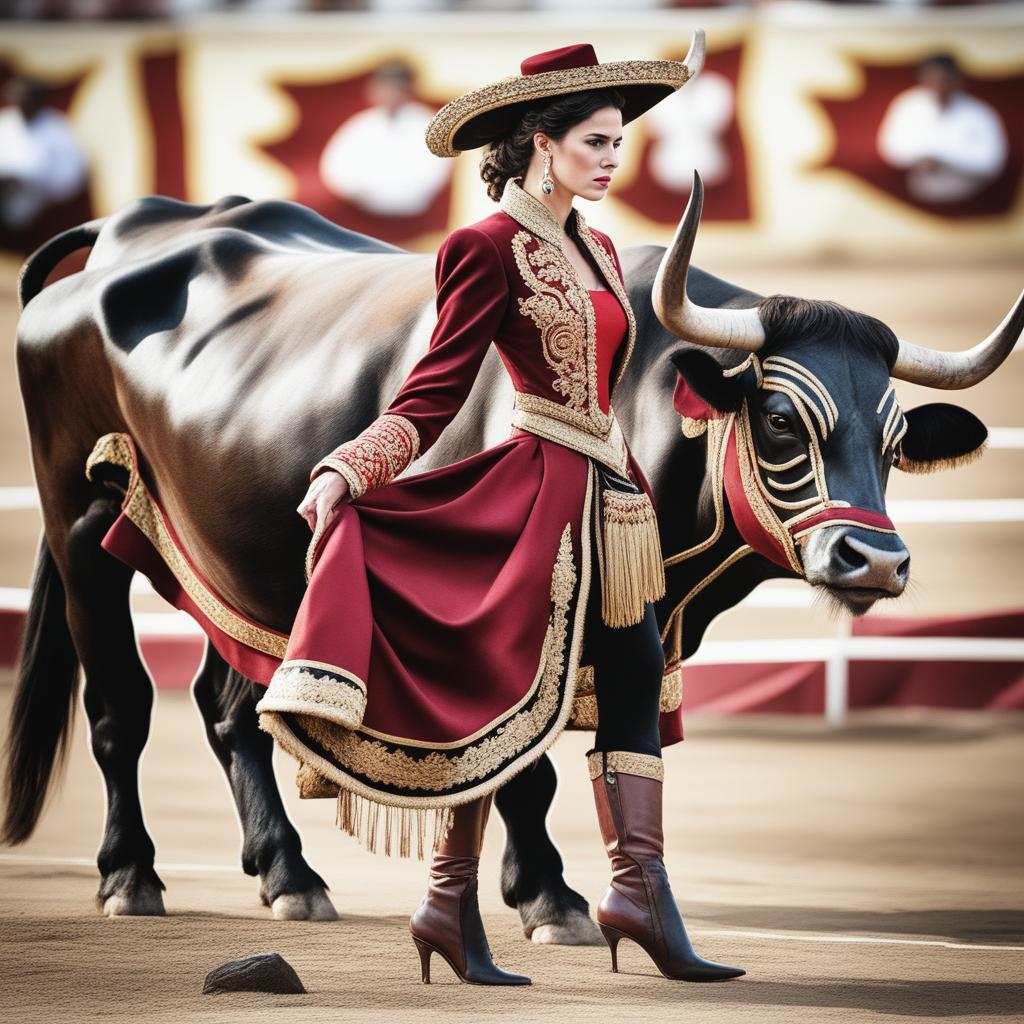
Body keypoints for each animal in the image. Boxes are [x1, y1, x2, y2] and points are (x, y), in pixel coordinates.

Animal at [4, 174, 1019, 937]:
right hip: (80, 517)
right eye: (778, 417)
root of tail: (130, 227)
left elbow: (606, 756)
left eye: (895, 440)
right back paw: (130, 876)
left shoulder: (632, 631)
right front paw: (548, 898)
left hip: (237, 560)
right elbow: (522, 766)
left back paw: (288, 874)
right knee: (120, 707)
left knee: (229, 709)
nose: (873, 560)